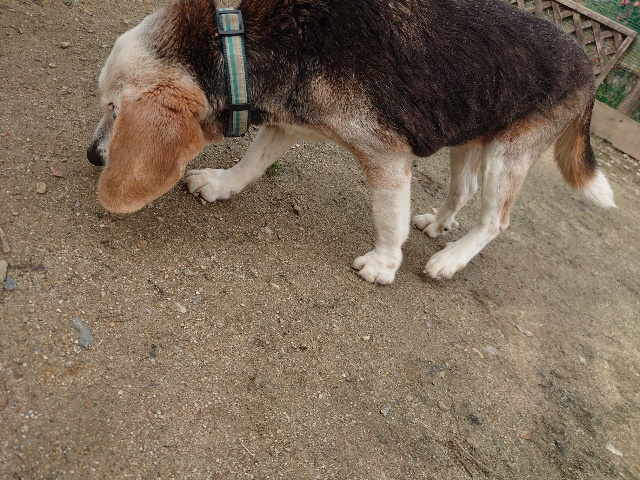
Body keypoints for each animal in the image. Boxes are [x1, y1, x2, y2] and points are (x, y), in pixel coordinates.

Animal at [87, 0, 615, 284]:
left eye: (114, 108)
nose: (93, 156)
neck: (238, 38)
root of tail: (586, 62)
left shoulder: (387, 156)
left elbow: (388, 218)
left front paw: (384, 263)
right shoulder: (286, 119)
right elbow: (251, 164)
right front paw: (221, 184)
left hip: (507, 155)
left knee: (495, 222)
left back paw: (450, 259)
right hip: (469, 131)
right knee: (461, 190)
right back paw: (438, 225)